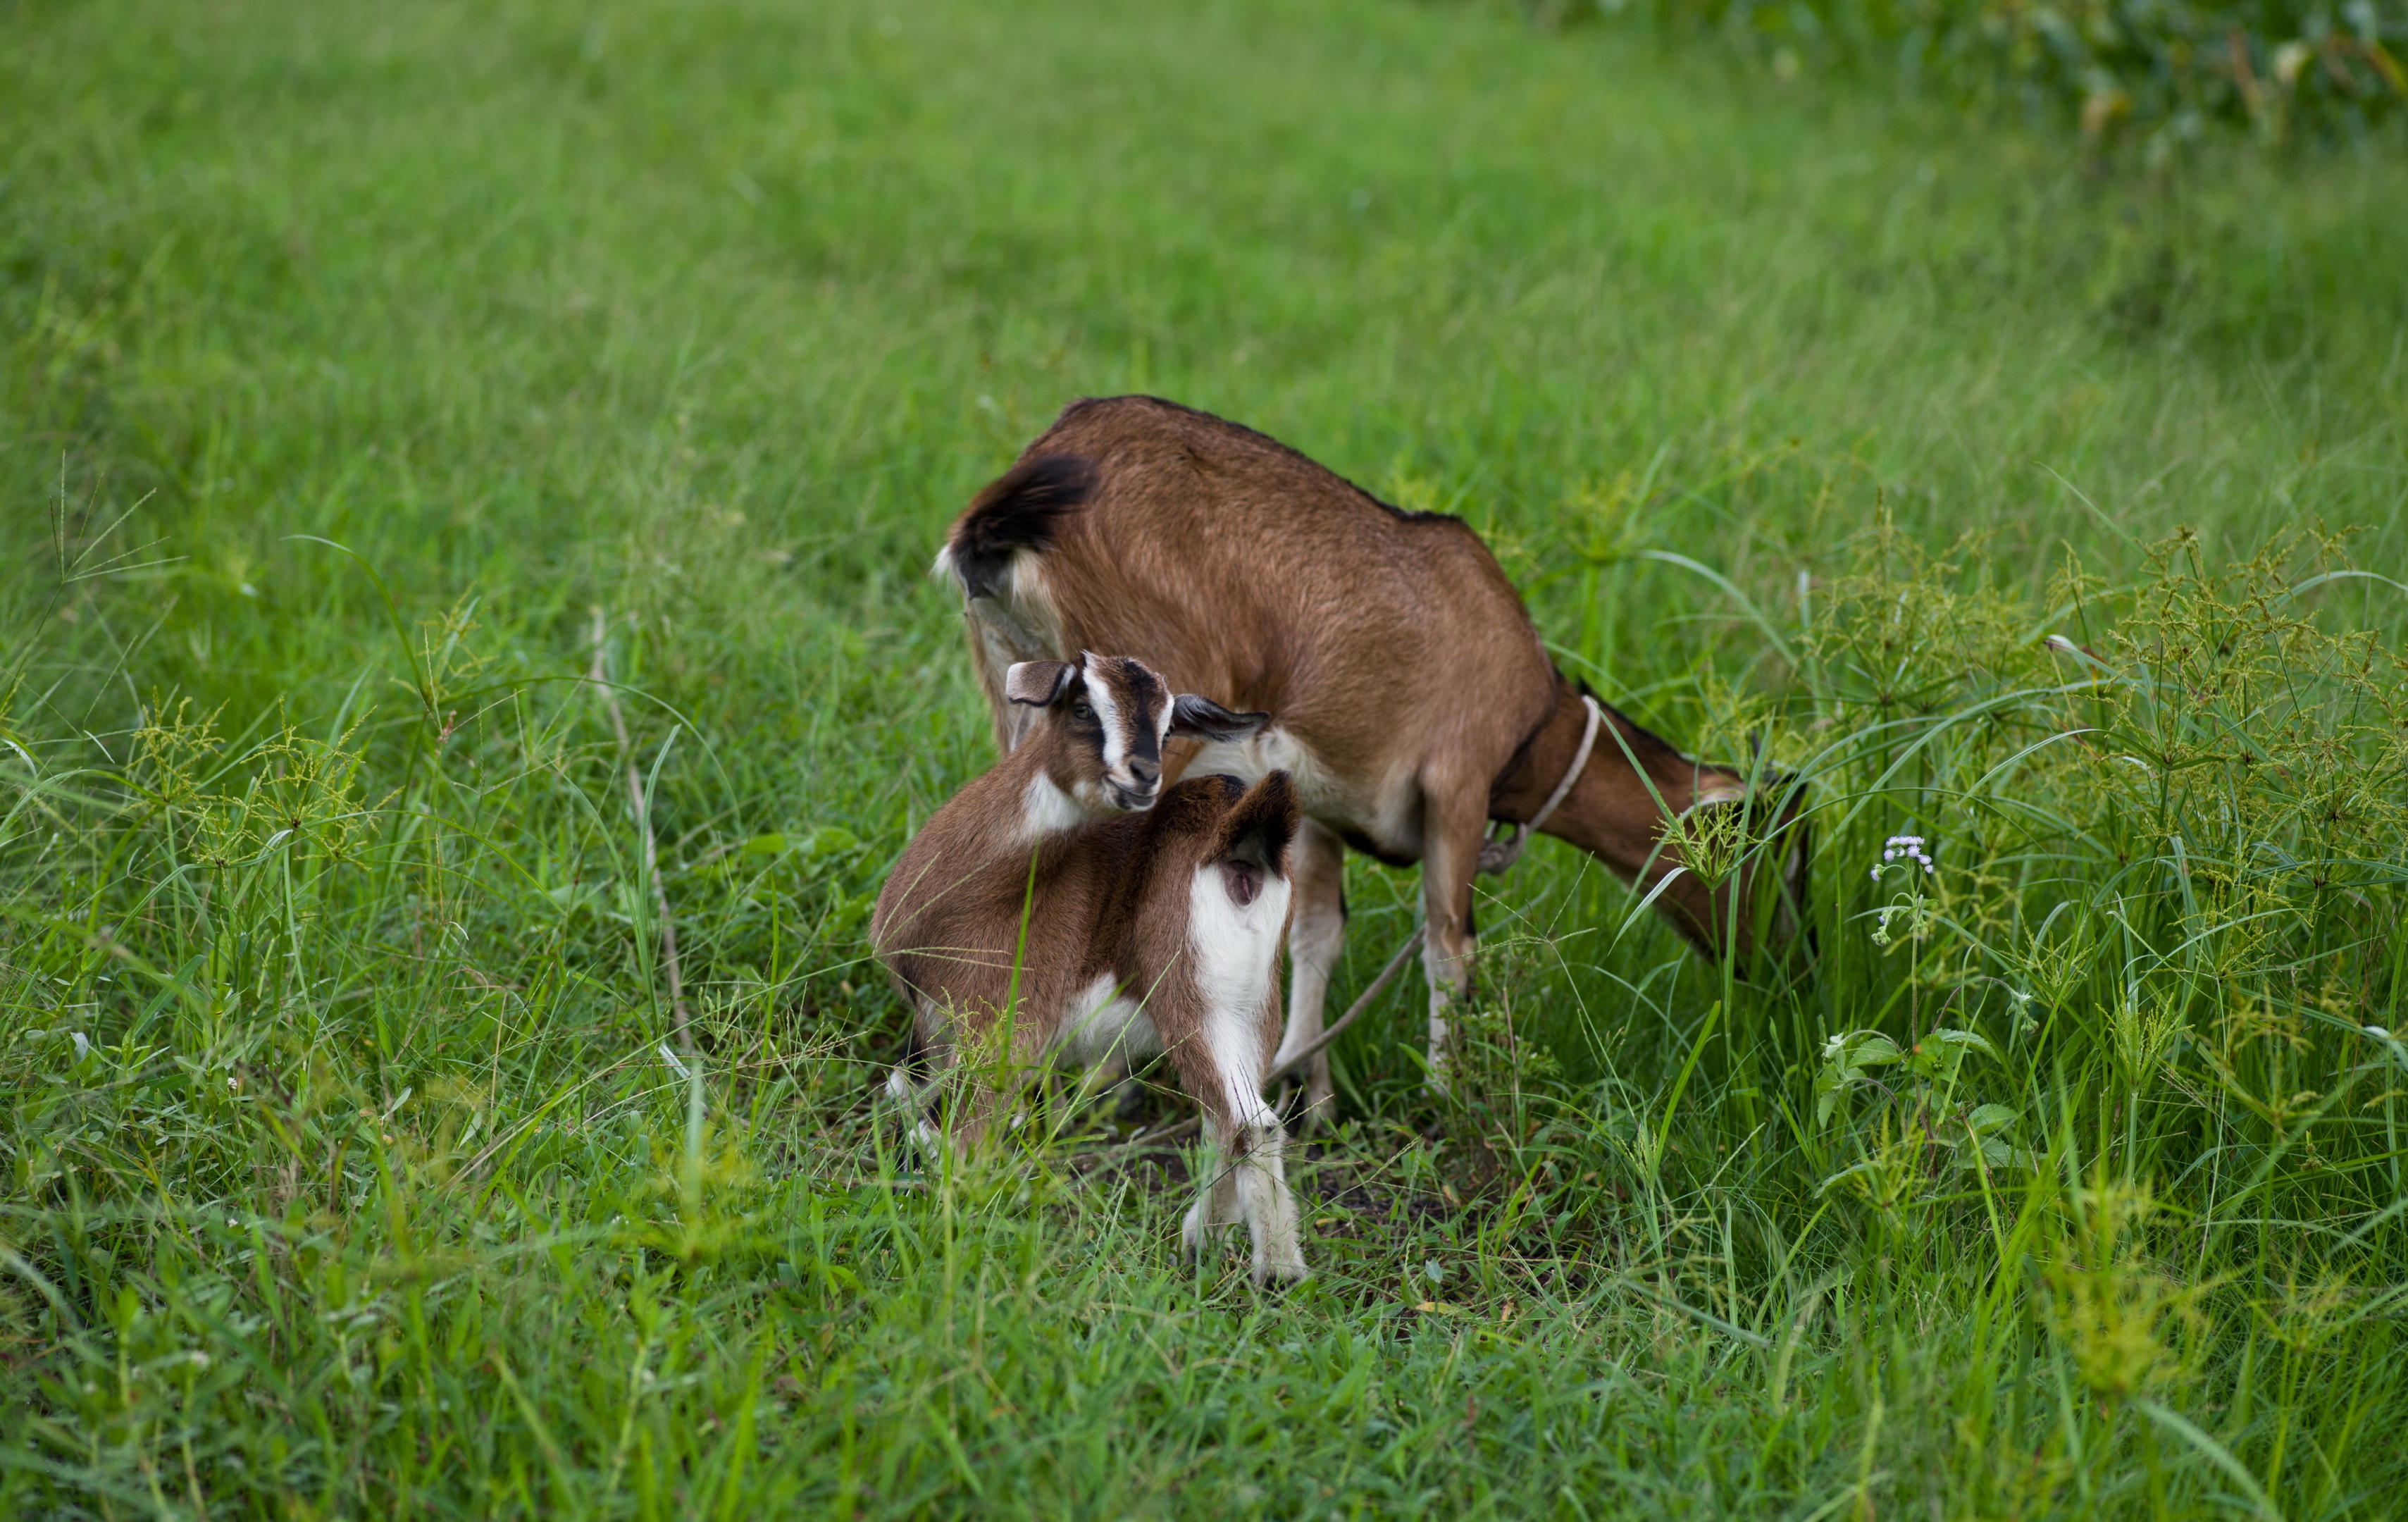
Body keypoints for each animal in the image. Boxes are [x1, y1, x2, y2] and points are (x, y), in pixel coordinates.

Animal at [929, 392, 1801, 1108]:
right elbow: (1450, 944)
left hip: (1013, 689)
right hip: (1147, 715)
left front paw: (1304, 1088)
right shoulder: (1457, 781)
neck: (1533, 728)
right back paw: (1102, 1086)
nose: (1786, 970)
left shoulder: (1316, 797)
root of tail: (1010, 504)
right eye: (1775, 857)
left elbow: (1314, 931)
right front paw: (1445, 1102)